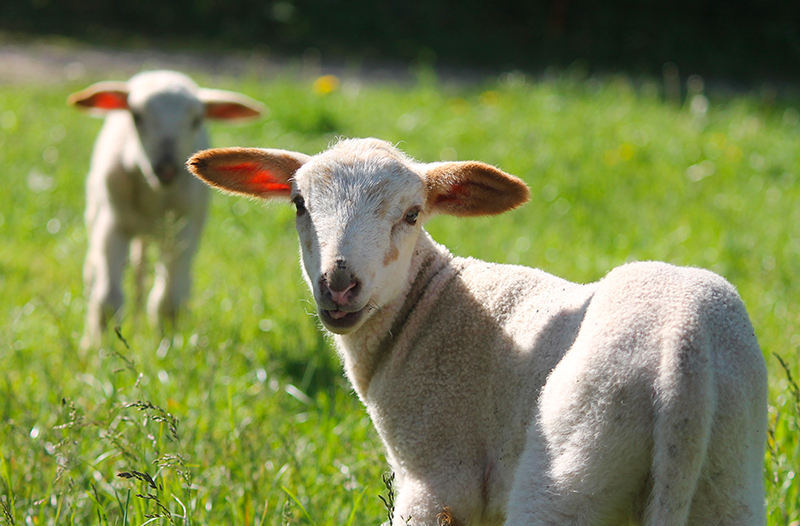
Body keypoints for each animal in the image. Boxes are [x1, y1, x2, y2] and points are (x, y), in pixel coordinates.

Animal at [69, 71, 262, 350]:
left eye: (196, 120)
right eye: (137, 116)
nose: (167, 169)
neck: (154, 193)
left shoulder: (183, 229)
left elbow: (169, 300)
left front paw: (167, 346)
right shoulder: (113, 225)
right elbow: (107, 300)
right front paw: (100, 351)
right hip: (97, 212)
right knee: (93, 274)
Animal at [184, 138, 764, 524]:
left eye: (412, 214)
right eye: (299, 204)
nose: (340, 285)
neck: (430, 304)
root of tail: (683, 354)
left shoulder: (438, 478)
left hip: (572, 467)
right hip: (729, 478)